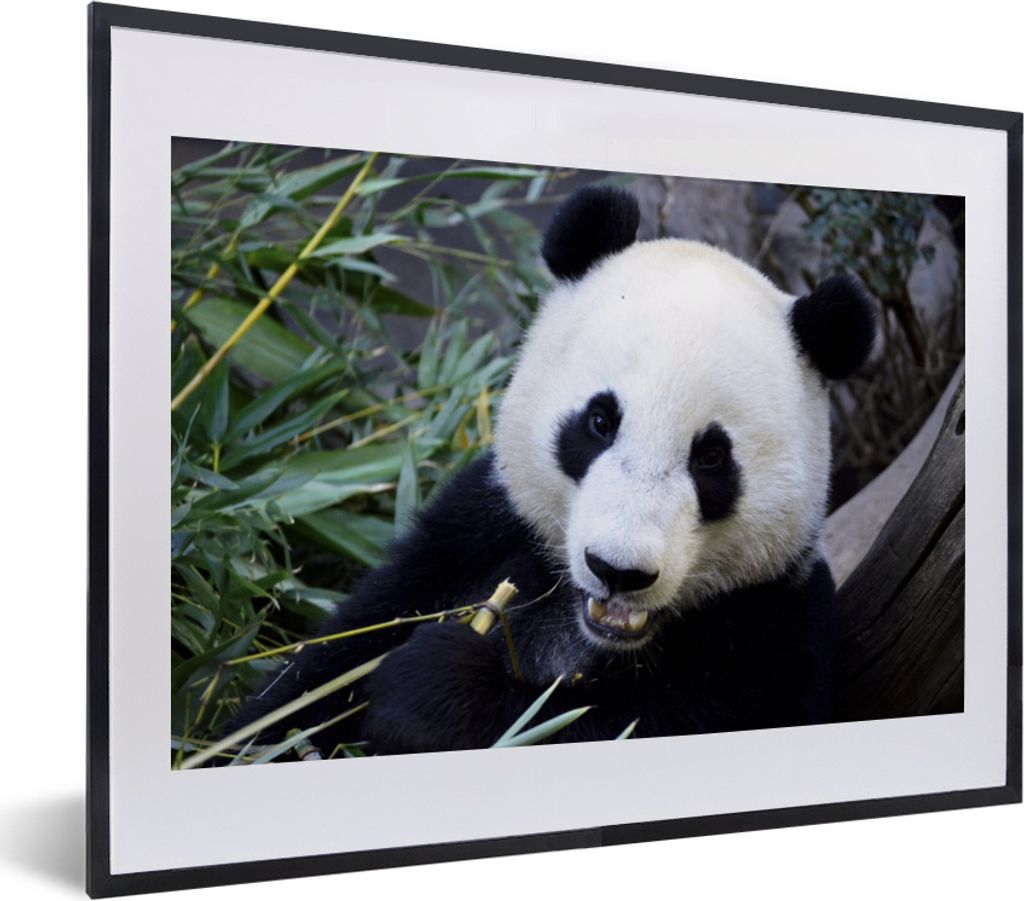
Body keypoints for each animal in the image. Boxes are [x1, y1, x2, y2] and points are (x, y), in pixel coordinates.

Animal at [230, 184, 876, 756]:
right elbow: (321, 674)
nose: (618, 571)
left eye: (711, 457)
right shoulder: (475, 531)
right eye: (599, 422)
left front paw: (435, 687)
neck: (593, 628)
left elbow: (594, 725)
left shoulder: (773, 630)